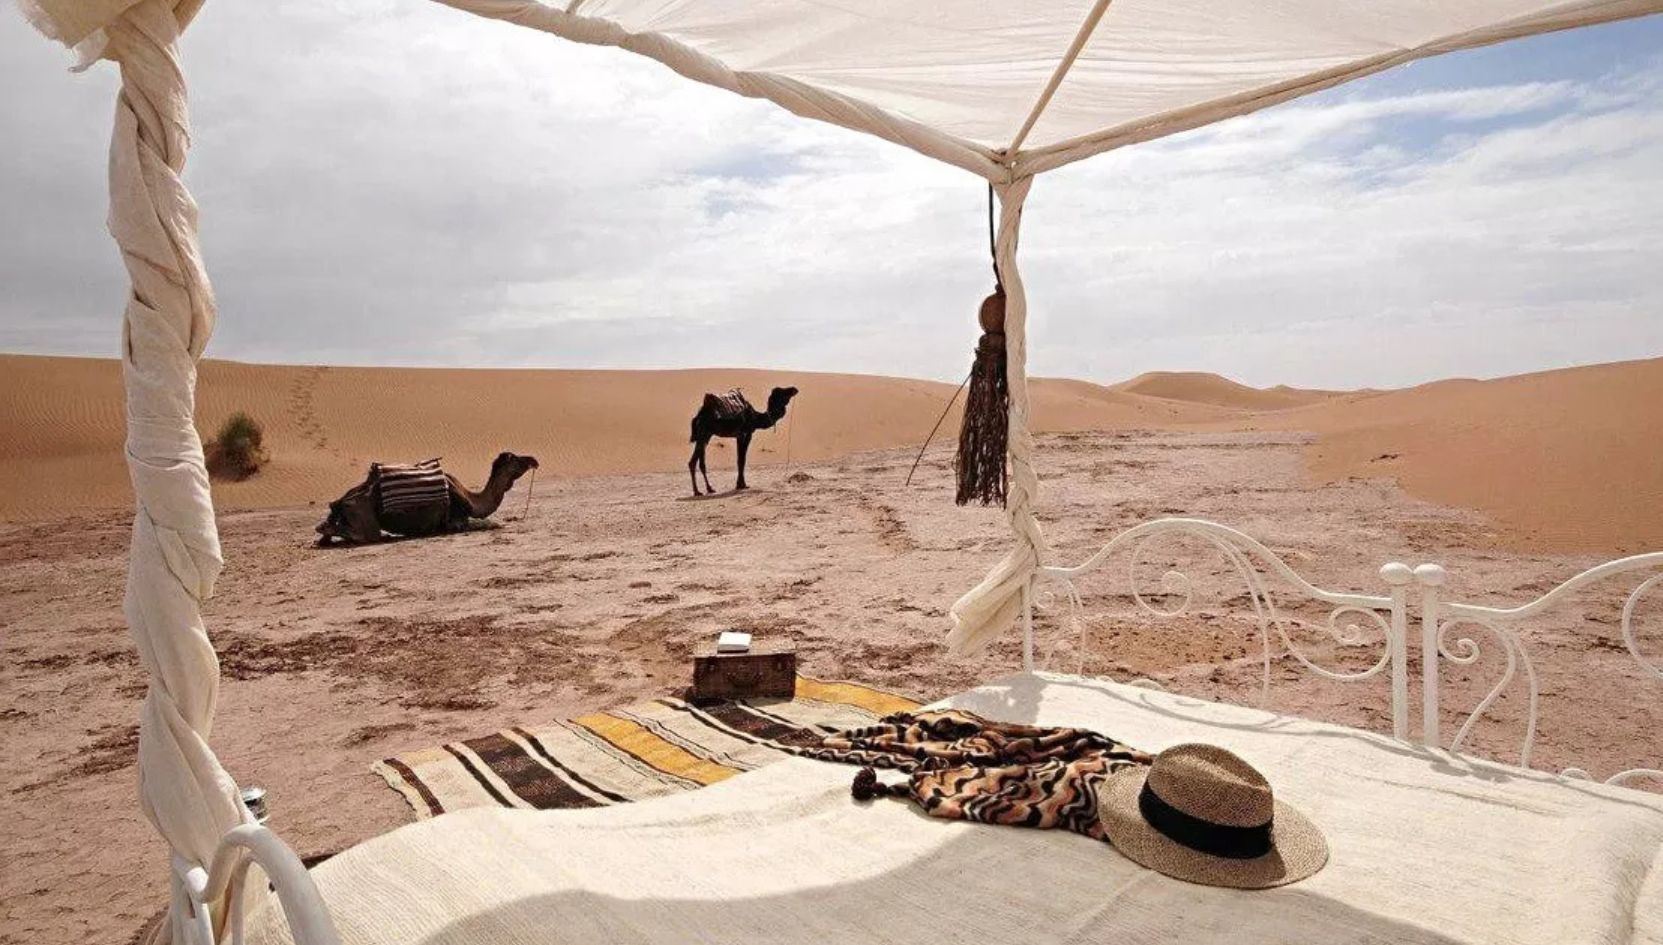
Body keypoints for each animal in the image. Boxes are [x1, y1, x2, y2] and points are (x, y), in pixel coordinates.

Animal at [315, 452, 539, 545]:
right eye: (516, 458)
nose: (534, 460)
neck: (471, 500)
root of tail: (341, 501)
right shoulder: (456, 522)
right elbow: (490, 524)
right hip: (364, 517)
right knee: (361, 534)